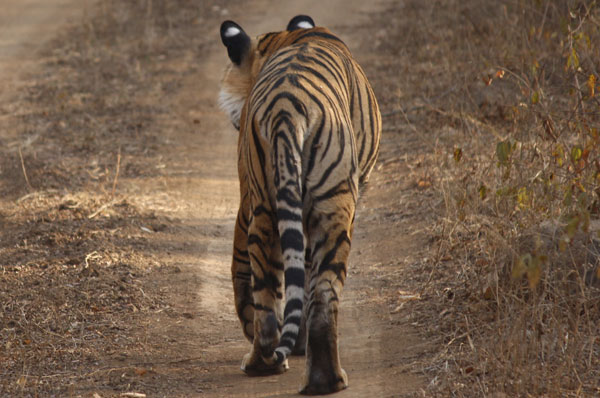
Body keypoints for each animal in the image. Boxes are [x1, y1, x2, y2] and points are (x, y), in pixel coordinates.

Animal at [218, 14, 382, 394]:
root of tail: (285, 110)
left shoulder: (249, 195)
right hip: (327, 207)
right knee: (316, 294)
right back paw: (319, 378)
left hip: (271, 210)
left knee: (275, 298)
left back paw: (271, 364)